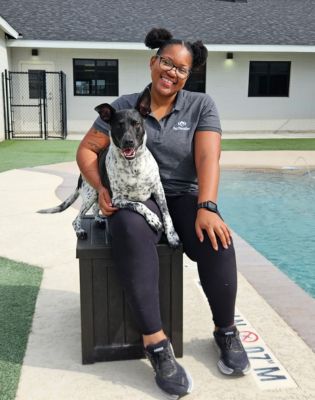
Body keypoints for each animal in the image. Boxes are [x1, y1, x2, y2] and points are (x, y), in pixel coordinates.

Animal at [37, 89, 180, 248]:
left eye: (136, 123)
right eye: (119, 125)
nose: (128, 142)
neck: (133, 166)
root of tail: (81, 175)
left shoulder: (158, 190)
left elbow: (167, 214)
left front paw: (172, 235)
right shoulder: (117, 200)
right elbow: (138, 205)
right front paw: (153, 219)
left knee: (95, 208)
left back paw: (99, 219)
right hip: (91, 193)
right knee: (76, 219)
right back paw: (80, 230)